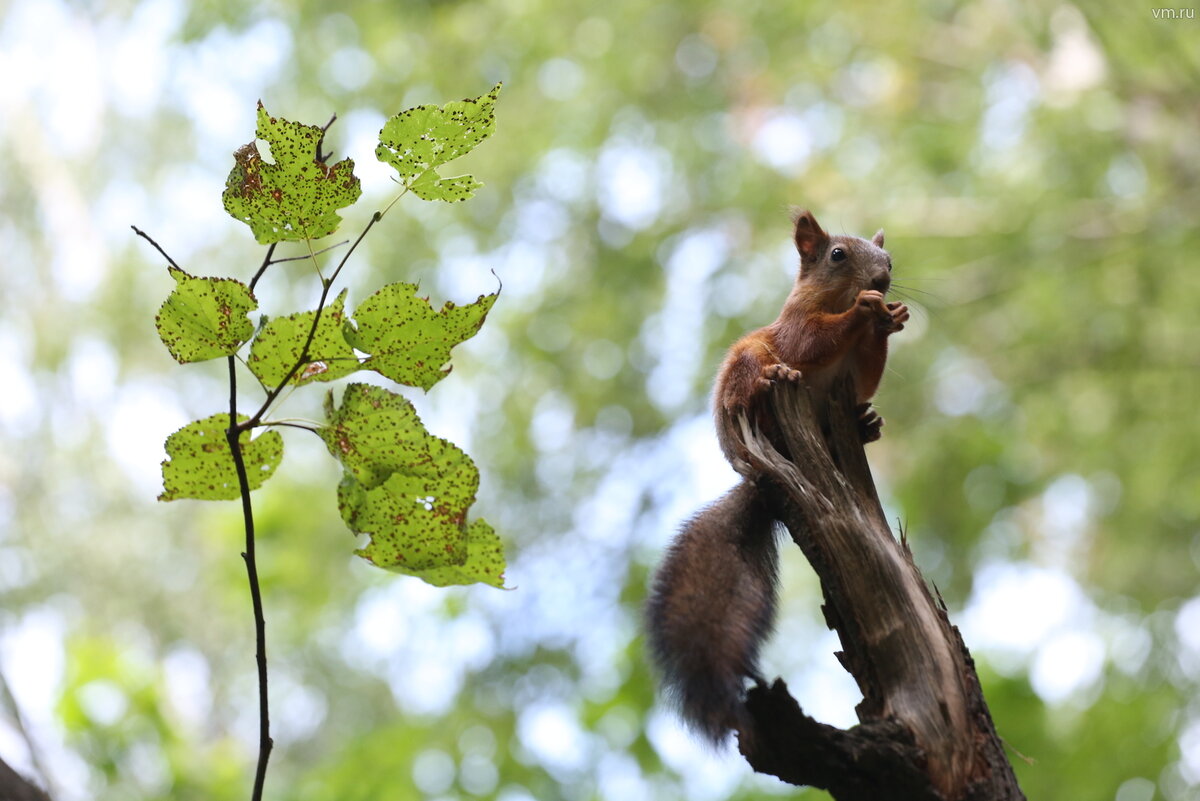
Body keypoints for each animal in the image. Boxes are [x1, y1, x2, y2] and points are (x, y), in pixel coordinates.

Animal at [648, 208, 907, 743]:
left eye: (890, 259)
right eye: (837, 255)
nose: (882, 281)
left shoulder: (855, 375)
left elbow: (867, 374)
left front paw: (888, 321)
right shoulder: (793, 328)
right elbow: (811, 340)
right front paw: (864, 312)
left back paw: (865, 426)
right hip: (747, 369)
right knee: (753, 381)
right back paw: (772, 380)